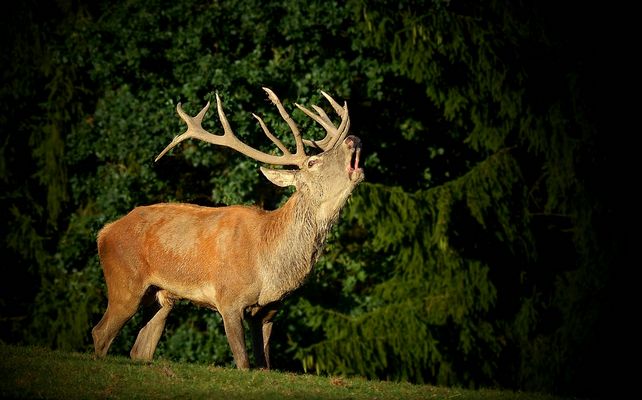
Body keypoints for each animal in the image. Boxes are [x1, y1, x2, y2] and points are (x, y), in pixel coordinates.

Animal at [91, 87, 364, 370]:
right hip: (125, 282)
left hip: (162, 297)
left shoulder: (269, 311)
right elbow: (243, 362)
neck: (268, 263)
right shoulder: (228, 299)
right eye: (312, 162)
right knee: (100, 332)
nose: (353, 138)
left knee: (140, 349)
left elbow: (264, 364)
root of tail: (104, 232)